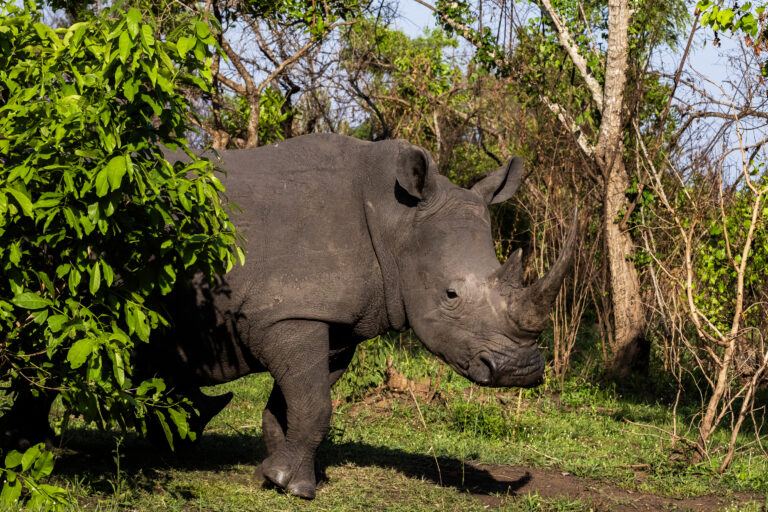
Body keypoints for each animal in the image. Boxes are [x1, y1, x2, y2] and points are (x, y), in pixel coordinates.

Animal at [1, 134, 576, 499]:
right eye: (451, 294)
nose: (521, 371)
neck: (397, 223)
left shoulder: (333, 320)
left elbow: (294, 402)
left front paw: (274, 473)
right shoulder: (289, 313)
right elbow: (314, 402)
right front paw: (294, 488)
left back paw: (31, 447)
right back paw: (34, 452)